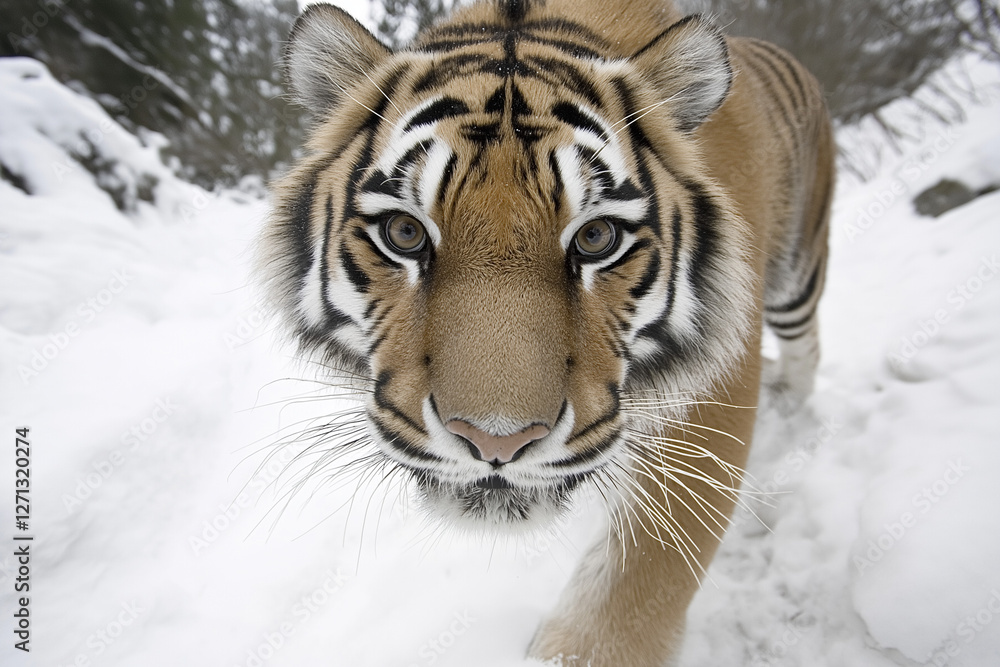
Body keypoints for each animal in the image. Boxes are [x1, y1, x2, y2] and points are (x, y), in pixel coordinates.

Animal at [257, 0, 834, 664]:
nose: (496, 442)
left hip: (798, 273)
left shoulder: (716, 394)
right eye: (404, 233)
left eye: (596, 237)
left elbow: (644, 574)